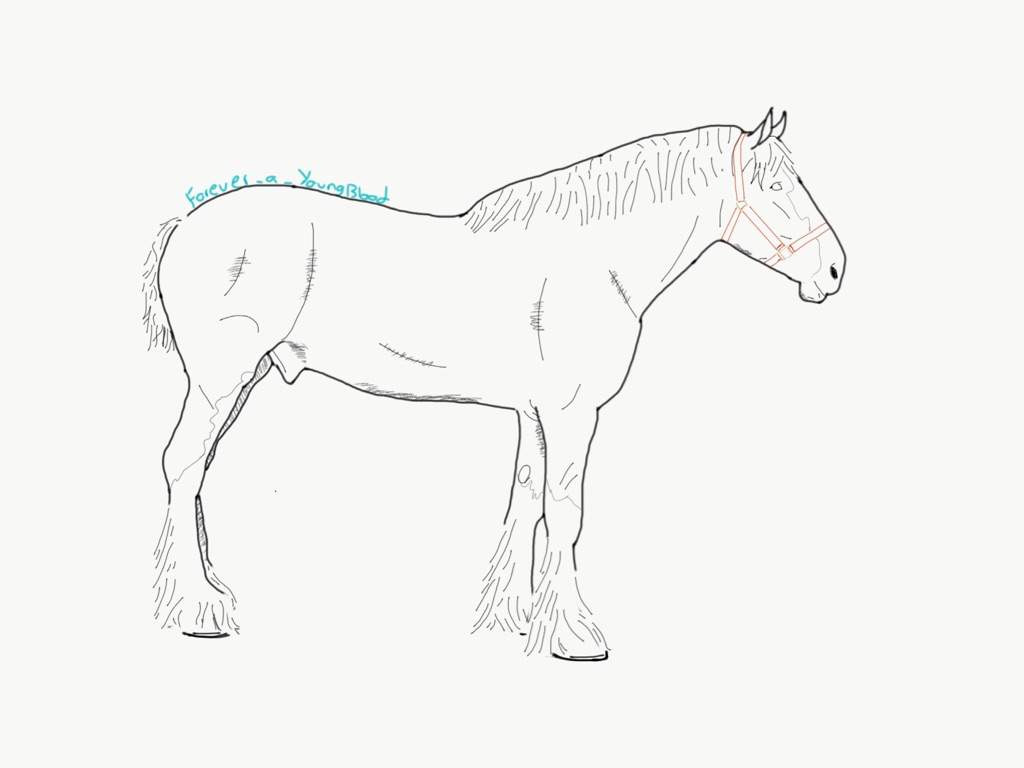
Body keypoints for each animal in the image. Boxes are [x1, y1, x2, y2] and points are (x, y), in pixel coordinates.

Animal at [143, 109, 845, 659]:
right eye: (777, 183)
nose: (835, 270)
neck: (593, 260)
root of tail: (185, 225)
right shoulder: (572, 413)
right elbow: (565, 511)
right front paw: (576, 635)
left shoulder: (534, 413)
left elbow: (526, 500)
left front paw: (514, 618)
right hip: (221, 380)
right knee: (183, 465)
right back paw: (198, 611)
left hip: (243, 380)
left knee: (196, 472)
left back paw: (204, 594)